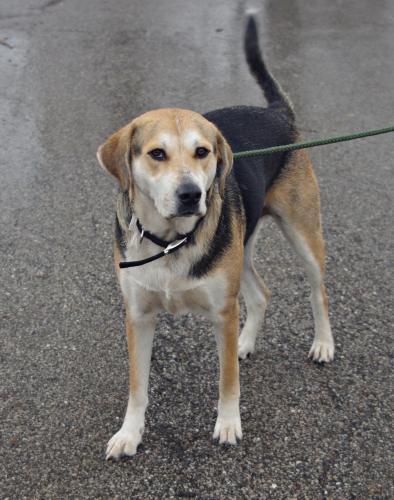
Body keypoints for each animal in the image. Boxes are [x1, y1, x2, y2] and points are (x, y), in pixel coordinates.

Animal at [97, 15, 334, 460]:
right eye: (157, 154)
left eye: (202, 152)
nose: (192, 194)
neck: (168, 243)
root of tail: (276, 113)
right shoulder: (137, 314)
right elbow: (138, 386)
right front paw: (130, 432)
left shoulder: (222, 312)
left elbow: (228, 381)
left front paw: (227, 424)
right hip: (241, 251)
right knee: (261, 293)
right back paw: (246, 342)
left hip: (303, 233)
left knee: (317, 290)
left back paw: (323, 343)